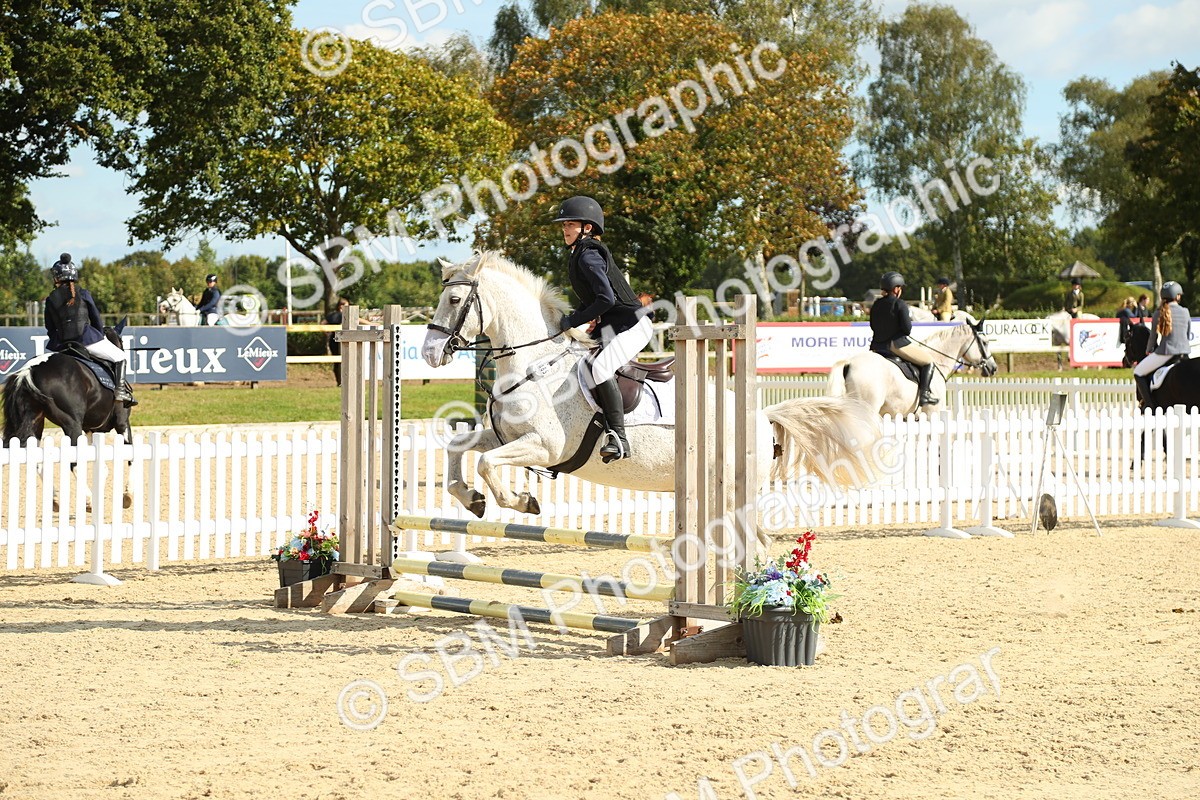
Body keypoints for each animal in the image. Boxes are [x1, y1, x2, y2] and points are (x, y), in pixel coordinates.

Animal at [420, 252, 881, 528]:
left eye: (455, 300)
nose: (428, 353)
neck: (534, 366)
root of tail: (762, 418)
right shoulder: (505, 438)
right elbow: (460, 447)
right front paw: (472, 499)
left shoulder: (544, 446)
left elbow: (487, 464)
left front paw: (518, 500)